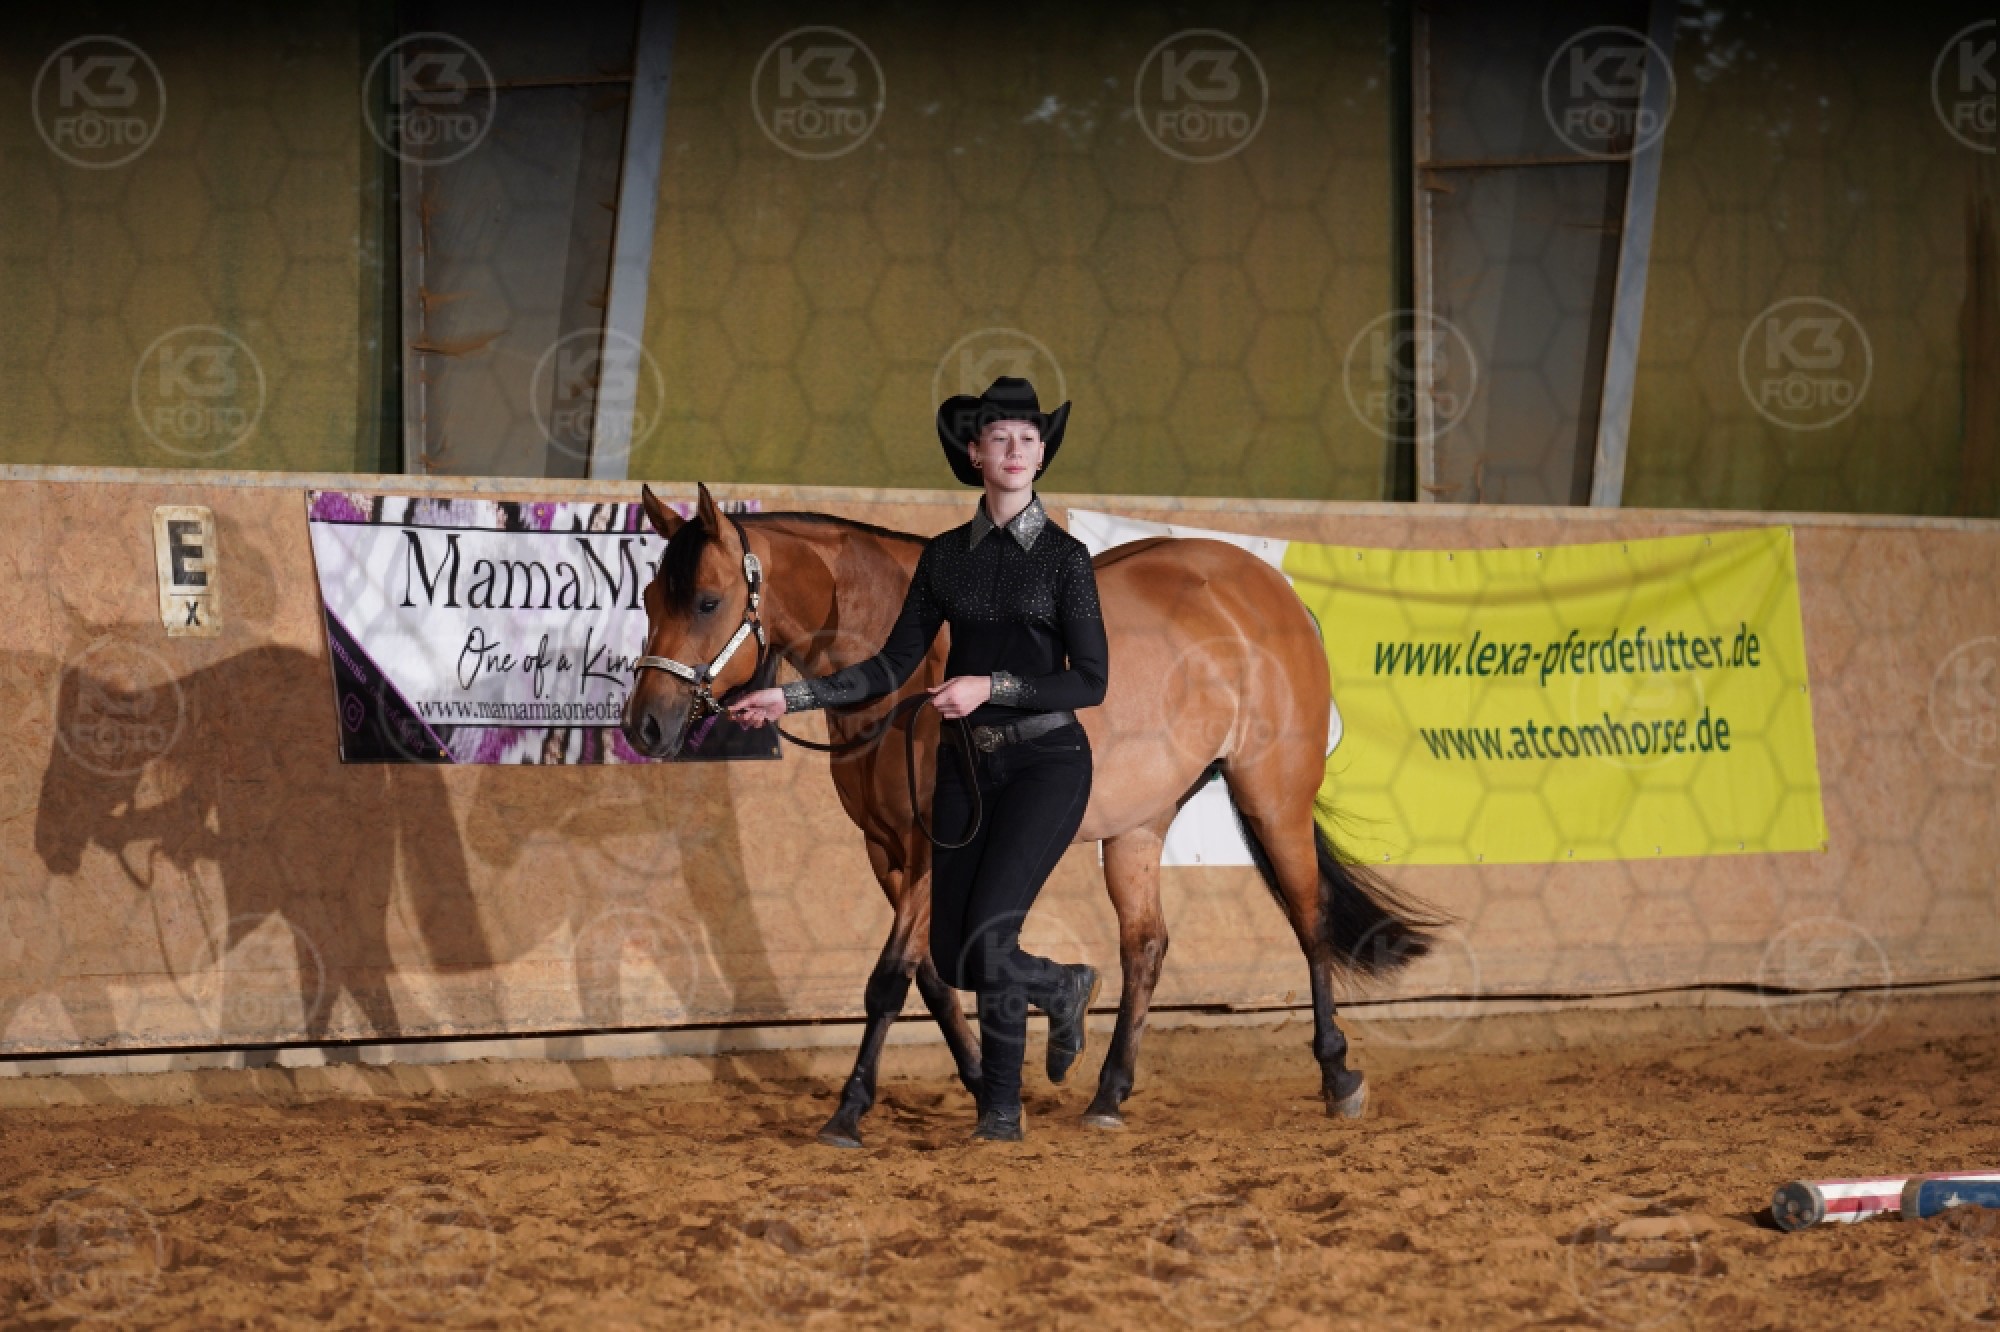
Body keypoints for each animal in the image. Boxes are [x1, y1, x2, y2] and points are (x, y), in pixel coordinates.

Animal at [622, 483, 1444, 1147]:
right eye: (650, 600)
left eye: (706, 601)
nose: (645, 727)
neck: (904, 674)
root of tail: (1271, 588)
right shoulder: (886, 850)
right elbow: (936, 975)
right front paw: (987, 1081)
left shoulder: (930, 850)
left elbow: (892, 979)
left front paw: (849, 1111)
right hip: (1139, 826)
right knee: (1145, 945)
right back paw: (1108, 1094)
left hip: (1273, 796)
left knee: (1309, 921)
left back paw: (1339, 1077)